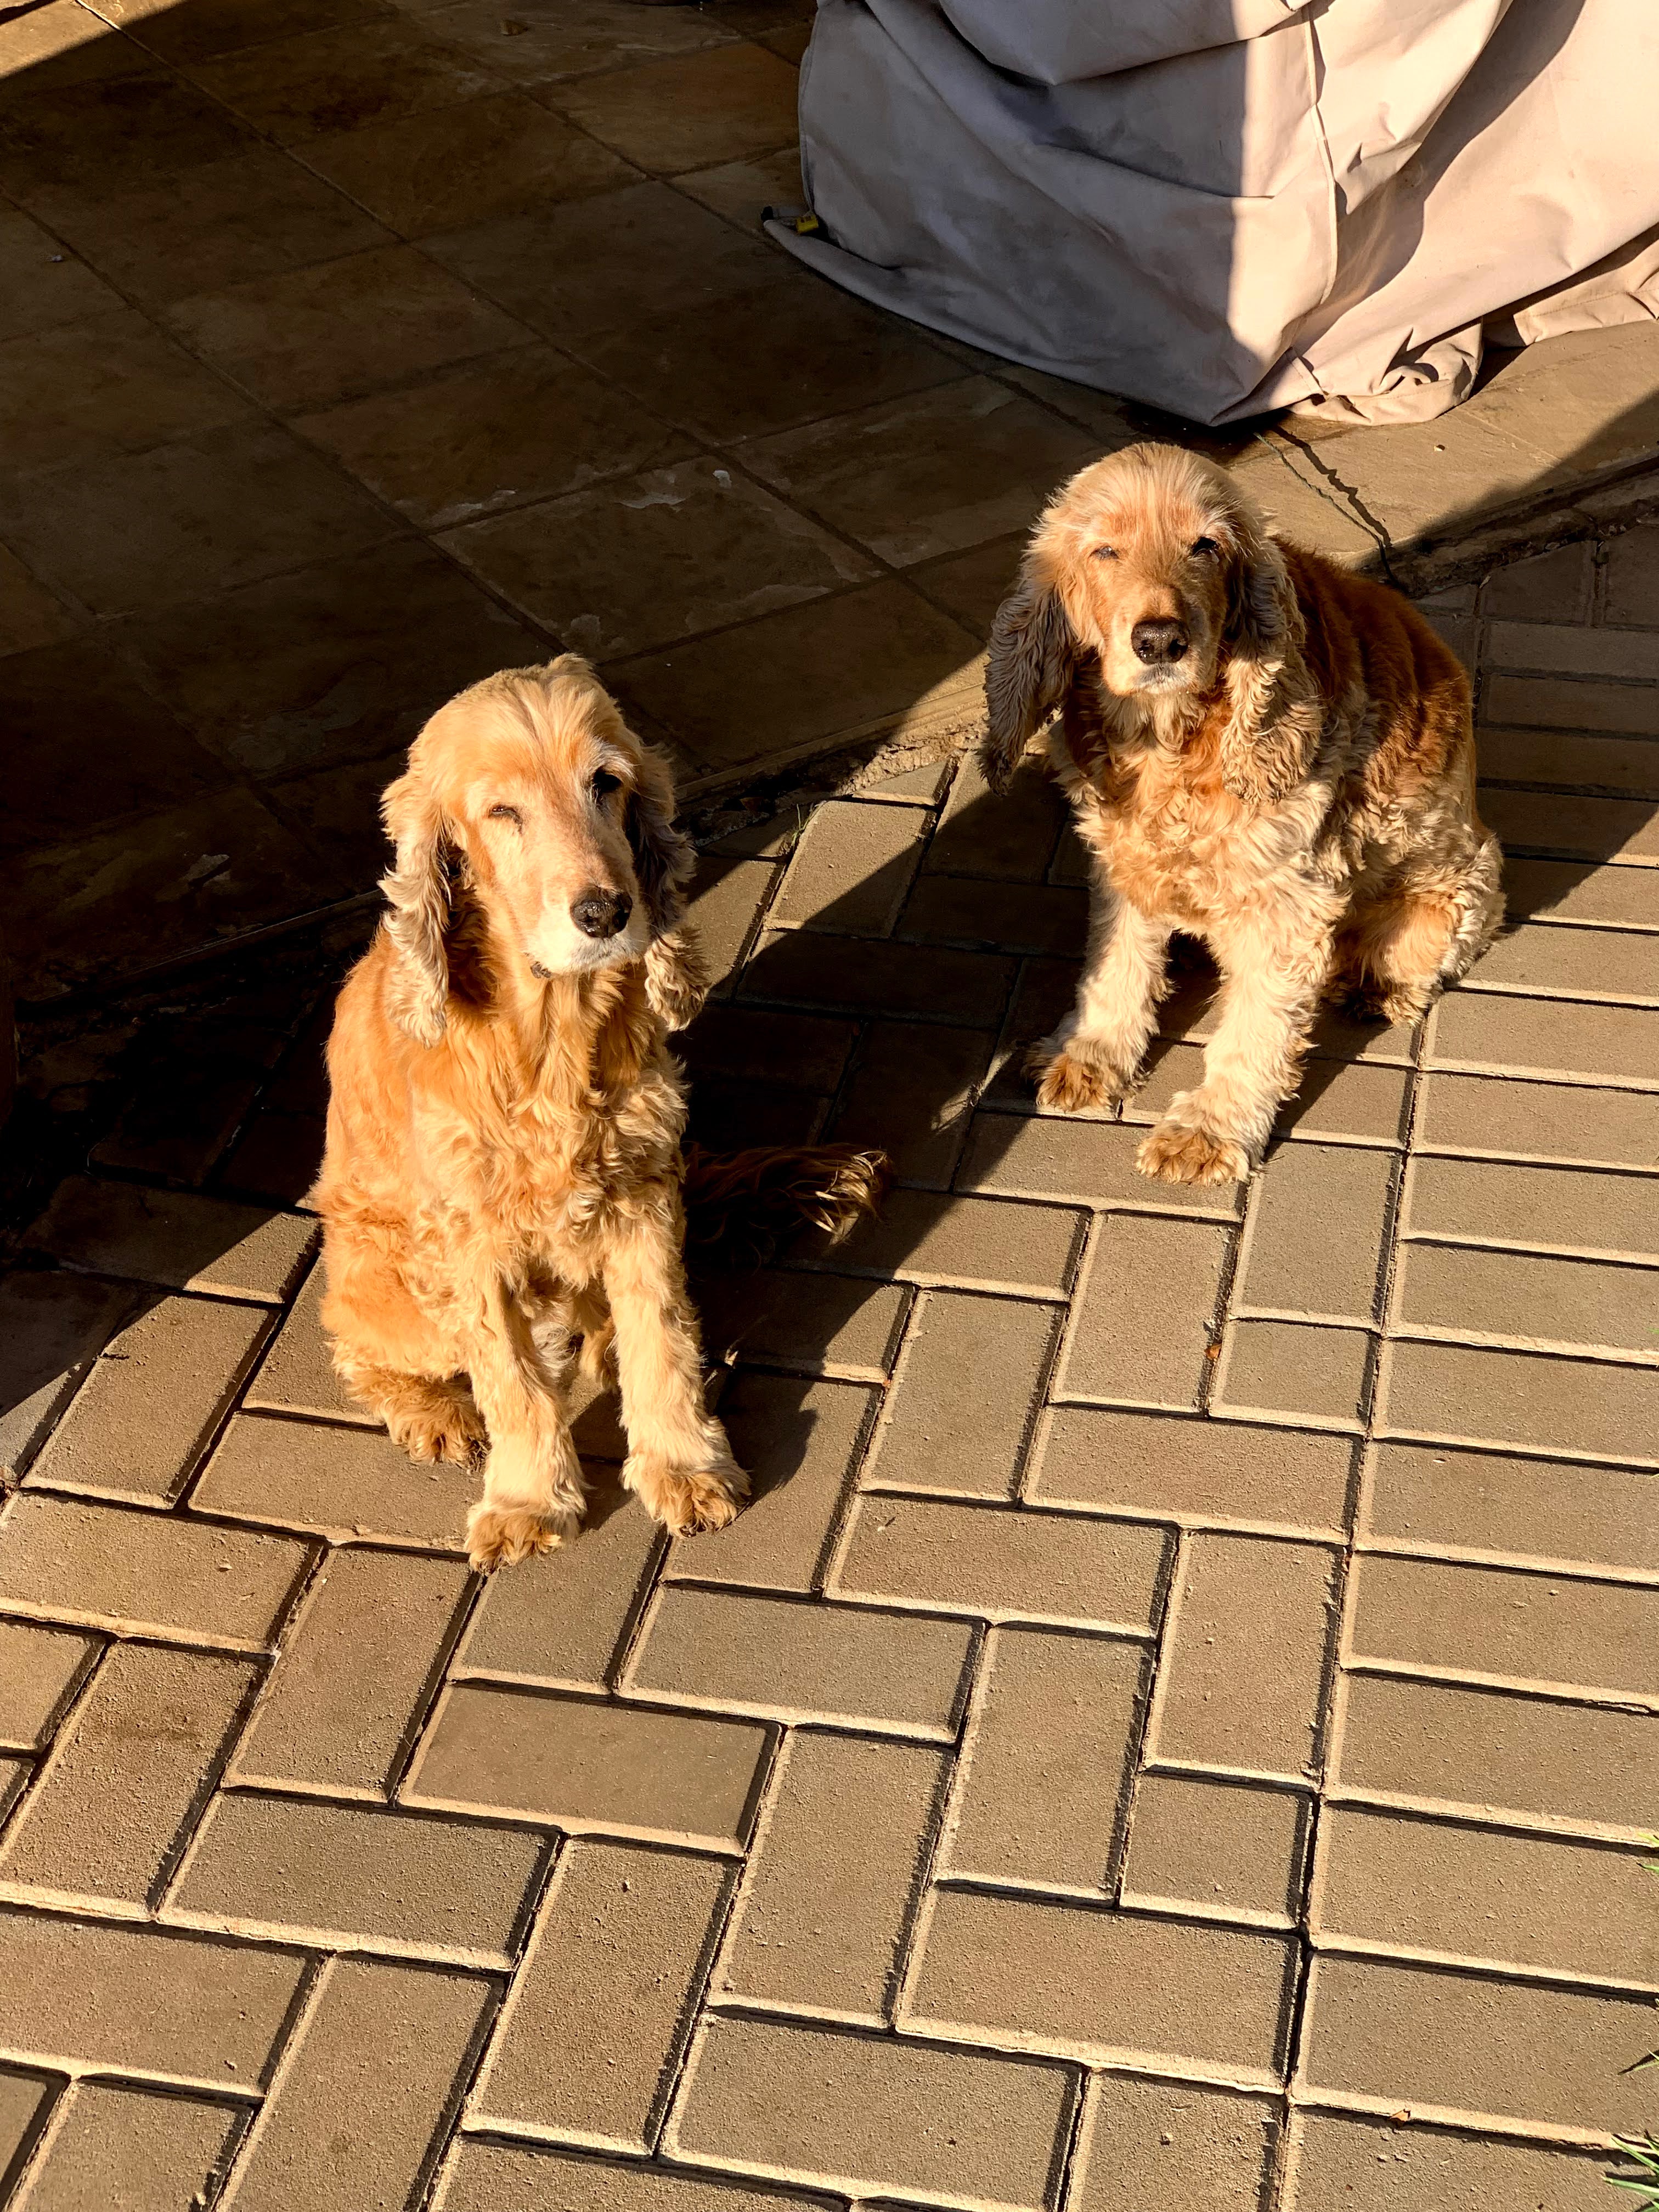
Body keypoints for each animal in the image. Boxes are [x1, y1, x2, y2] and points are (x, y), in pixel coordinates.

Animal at [312, 657, 878, 1571]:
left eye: (605, 783)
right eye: (502, 812)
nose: (606, 912)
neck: (552, 1034)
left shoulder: (644, 1193)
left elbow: (661, 1336)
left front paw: (684, 1466)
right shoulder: (474, 1242)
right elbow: (510, 1380)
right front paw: (528, 1502)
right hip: (381, 1281)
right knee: (362, 1347)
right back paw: (434, 1413)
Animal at [982, 443, 1503, 1184]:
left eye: (1205, 546)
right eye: (1105, 550)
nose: (1160, 642)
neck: (1168, 743)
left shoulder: (1288, 905)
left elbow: (1255, 1029)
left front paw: (1209, 1130)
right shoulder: (1123, 863)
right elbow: (1114, 966)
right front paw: (1089, 1054)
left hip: (1449, 898)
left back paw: (1376, 987)